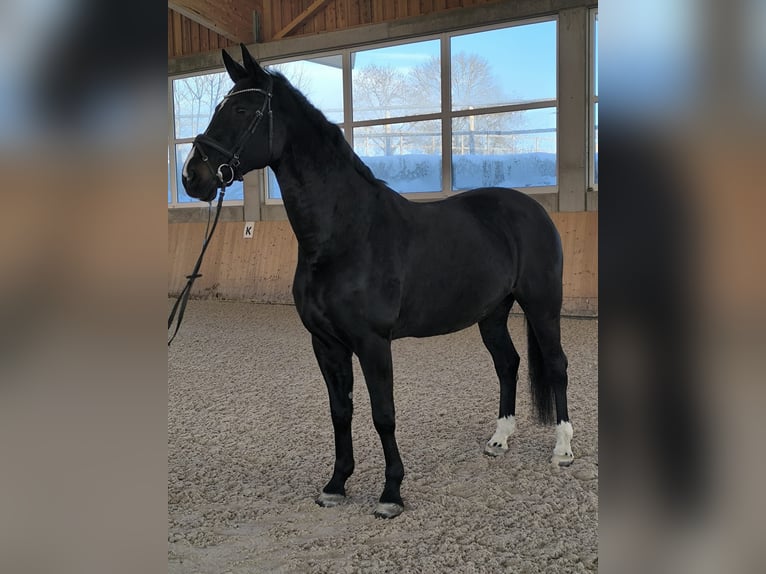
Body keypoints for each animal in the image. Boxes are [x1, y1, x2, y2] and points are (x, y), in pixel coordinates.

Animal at [181, 44, 574, 519]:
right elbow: (340, 412)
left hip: (542, 306)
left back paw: (563, 449)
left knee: (556, 365)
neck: (346, 233)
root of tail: (532, 210)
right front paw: (336, 484)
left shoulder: (372, 342)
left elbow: (383, 414)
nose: (192, 176)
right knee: (508, 364)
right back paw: (499, 440)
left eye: (241, 109)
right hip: (492, 314)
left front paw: (391, 494)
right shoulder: (326, 343)